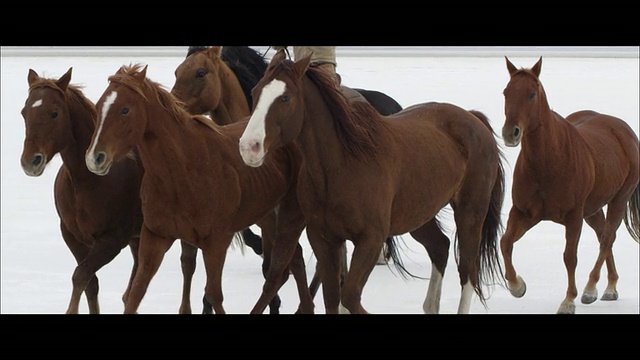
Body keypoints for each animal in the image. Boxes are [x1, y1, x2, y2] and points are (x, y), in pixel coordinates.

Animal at [85, 64, 316, 316]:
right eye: (99, 106)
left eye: (125, 110)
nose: (94, 158)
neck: (183, 172)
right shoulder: (156, 237)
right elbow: (135, 294)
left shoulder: (216, 242)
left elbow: (214, 295)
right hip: (270, 219)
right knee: (293, 264)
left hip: (289, 217)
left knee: (280, 273)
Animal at [236, 49, 504, 314]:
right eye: (255, 92)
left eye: (285, 98)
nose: (249, 147)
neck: (341, 167)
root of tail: (472, 117)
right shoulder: (324, 239)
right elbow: (333, 298)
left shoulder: (370, 240)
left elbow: (350, 297)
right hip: (418, 215)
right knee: (440, 247)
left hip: (471, 212)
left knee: (468, 271)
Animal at [500, 57, 640, 314]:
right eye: (506, 92)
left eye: (532, 94)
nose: (510, 133)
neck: (548, 161)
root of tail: (623, 130)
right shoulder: (524, 213)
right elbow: (505, 242)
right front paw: (517, 285)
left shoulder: (574, 216)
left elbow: (569, 257)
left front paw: (569, 300)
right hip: (592, 210)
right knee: (604, 236)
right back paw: (610, 286)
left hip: (618, 200)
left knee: (606, 239)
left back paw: (592, 289)